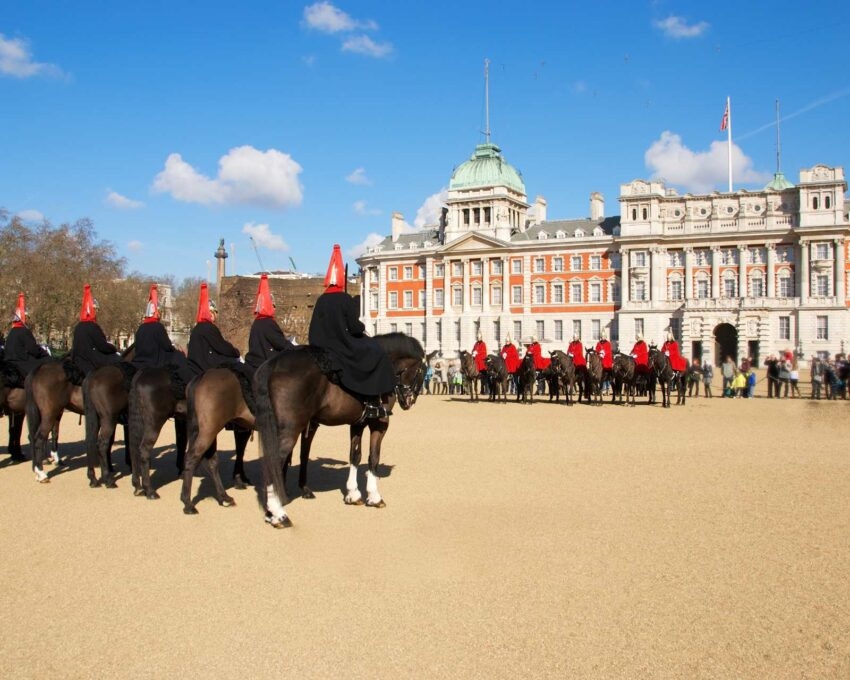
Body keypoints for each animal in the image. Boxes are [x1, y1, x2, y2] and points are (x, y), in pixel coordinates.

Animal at [179, 367, 254, 515]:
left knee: (212, 461)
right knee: (192, 457)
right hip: (209, 430)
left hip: (211, 431)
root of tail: (203, 376)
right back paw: (188, 504)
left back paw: (224, 496)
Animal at [255, 333, 425, 529]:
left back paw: (273, 509)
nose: (409, 401)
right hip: (291, 429)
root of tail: (274, 362)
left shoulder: (357, 423)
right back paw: (279, 513)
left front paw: (353, 494)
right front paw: (374, 496)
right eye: (421, 371)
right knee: (274, 461)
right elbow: (373, 457)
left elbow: (355, 455)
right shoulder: (379, 423)